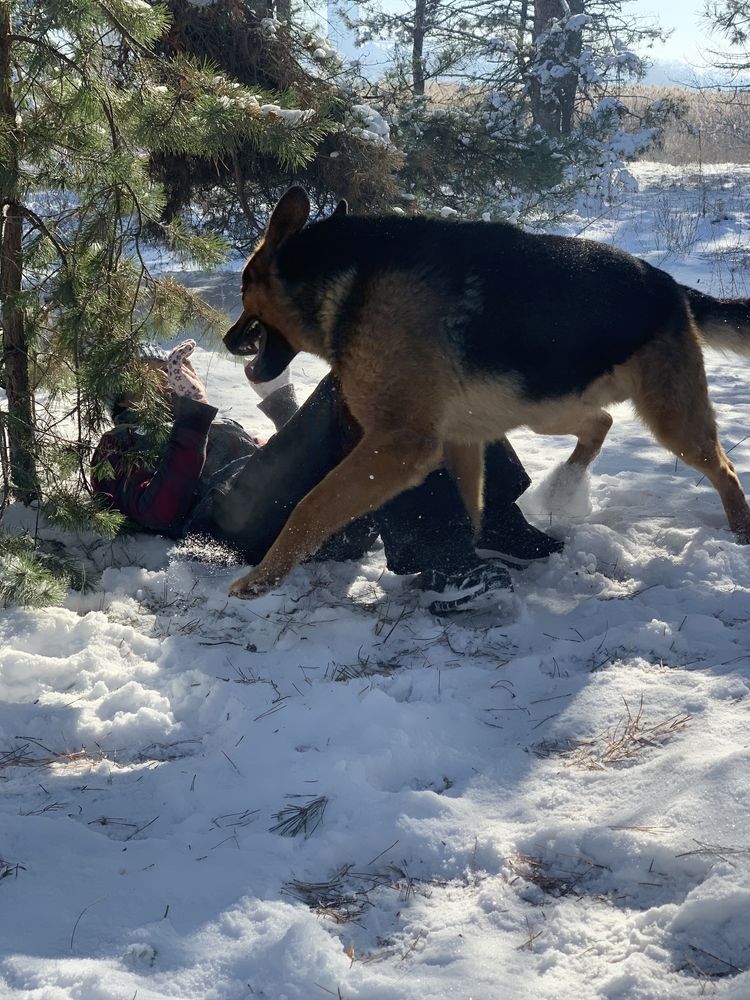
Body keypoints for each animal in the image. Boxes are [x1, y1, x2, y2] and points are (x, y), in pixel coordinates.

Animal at [223, 184, 750, 596]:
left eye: (246, 284)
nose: (227, 340)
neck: (347, 280)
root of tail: (671, 287)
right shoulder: (459, 438)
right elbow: (470, 504)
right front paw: (474, 553)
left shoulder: (399, 444)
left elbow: (312, 505)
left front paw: (261, 579)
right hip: (544, 409)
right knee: (600, 423)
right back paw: (564, 486)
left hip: (671, 421)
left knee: (724, 470)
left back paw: (740, 532)